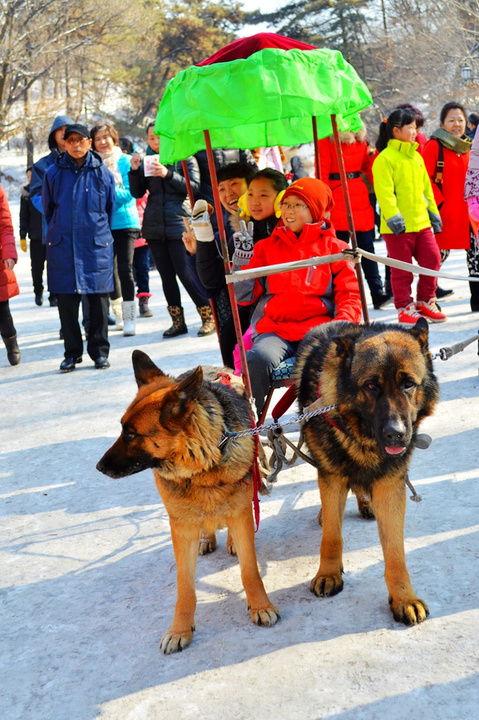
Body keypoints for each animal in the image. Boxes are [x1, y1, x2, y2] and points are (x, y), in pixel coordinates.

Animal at [96, 352, 280, 656]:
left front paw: (260, 605)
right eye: (123, 429)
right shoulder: (181, 528)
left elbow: (250, 570)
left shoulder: (241, 513)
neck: (201, 468)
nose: (99, 467)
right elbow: (185, 587)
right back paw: (207, 538)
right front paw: (180, 629)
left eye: (131, 434)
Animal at [294, 320, 440, 624]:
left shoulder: (390, 487)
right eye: (371, 386)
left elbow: (395, 553)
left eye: (408, 384)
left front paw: (403, 598)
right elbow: (332, 536)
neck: (363, 438)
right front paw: (328, 573)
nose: (396, 434)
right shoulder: (332, 479)